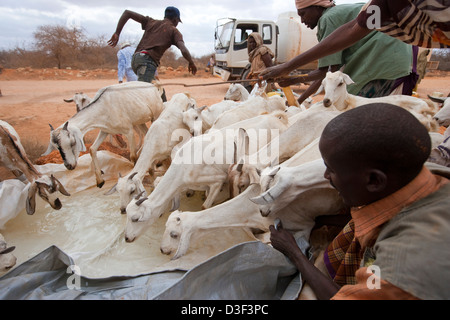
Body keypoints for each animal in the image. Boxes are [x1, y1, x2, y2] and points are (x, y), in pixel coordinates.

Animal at [124, 112, 288, 242]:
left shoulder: (217, 181)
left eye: (135, 219)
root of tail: (276, 119)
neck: (184, 167)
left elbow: (204, 206)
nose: (127, 238)